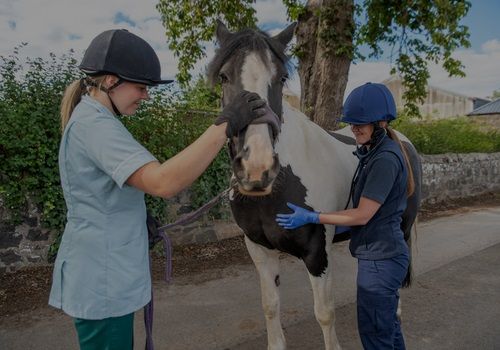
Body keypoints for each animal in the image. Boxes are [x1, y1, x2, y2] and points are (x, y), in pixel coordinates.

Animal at [207, 21, 422, 350]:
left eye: (281, 78)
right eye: (224, 76)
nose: (257, 168)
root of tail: (403, 142)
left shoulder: (316, 253)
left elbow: (324, 312)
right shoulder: (260, 250)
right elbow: (270, 305)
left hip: (403, 226)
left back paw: (395, 312)